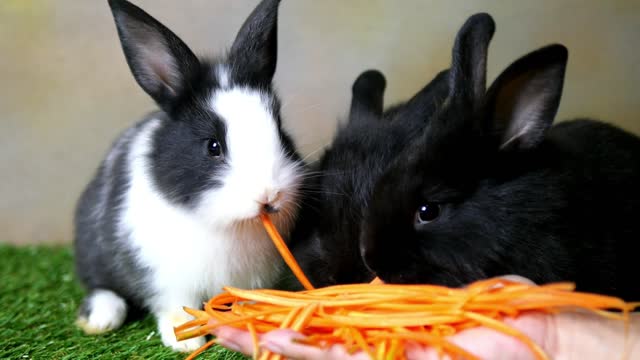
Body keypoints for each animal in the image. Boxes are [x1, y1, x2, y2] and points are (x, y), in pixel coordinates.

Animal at [74, 0, 304, 350]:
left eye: (281, 131)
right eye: (213, 146)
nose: (268, 195)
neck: (227, 223)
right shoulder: (166, 278)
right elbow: (176, 308)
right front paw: (185, 341)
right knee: (103, 287)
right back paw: (99, 319)